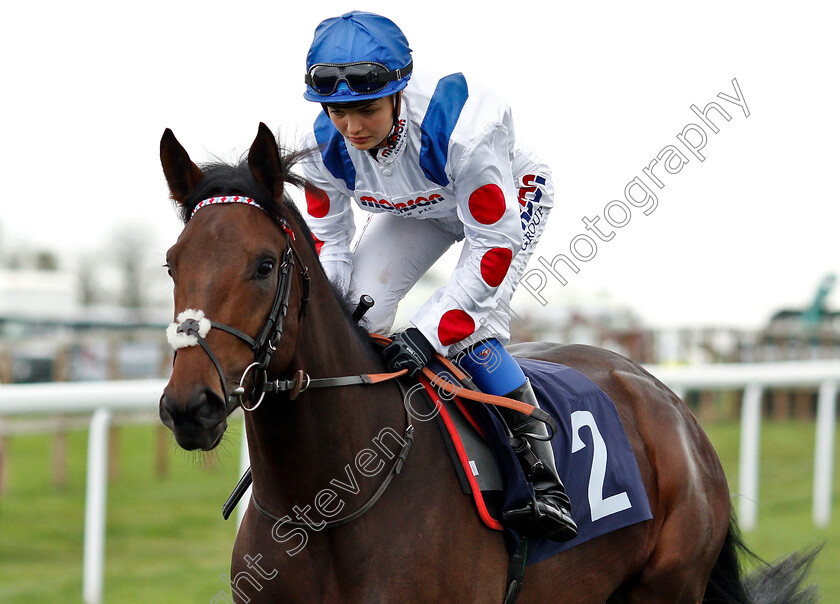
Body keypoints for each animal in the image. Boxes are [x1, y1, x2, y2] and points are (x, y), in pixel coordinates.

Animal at [156, 125, 812, 600]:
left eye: (265, 264)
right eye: (171, 262)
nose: (191, 406)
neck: (323, 509)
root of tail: (667, 398)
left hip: (667, 586)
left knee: (478, 322)